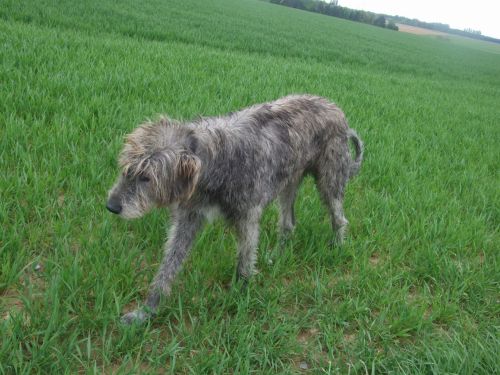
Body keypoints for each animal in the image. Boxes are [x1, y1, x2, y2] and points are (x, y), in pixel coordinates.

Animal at [106, 94, 364, 324]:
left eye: (147, 177)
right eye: (126, 169)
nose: (111, 206)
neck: (215, 161)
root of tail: (336, 110)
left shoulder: (247, 218)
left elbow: (244, 261)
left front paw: (239, 299)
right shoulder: (189, 217)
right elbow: (168, 264)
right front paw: (146, 311)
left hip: (330, 180)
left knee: (338, 218)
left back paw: (337, 247)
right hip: (289, 181)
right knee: (288, 223)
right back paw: (278, 255)